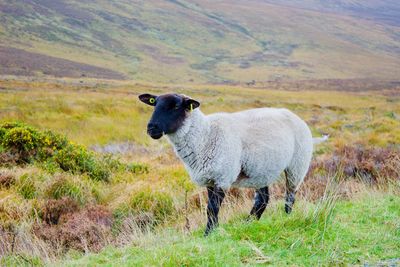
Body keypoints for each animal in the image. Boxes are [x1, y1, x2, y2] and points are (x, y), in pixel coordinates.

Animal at [139, 93, 320, 236]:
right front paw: (214, 230)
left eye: (176, 106)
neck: (205, 136)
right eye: (154, 103)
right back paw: (249, 222)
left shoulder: (222, 178)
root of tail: (294, 115)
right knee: (262, 199)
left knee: (290, 196)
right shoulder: (211, 179)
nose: (151, 128)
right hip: (262, 170)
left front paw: (208, 233)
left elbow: (212, 208)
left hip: (297, 165)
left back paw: (287, 217)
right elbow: (211, 209)